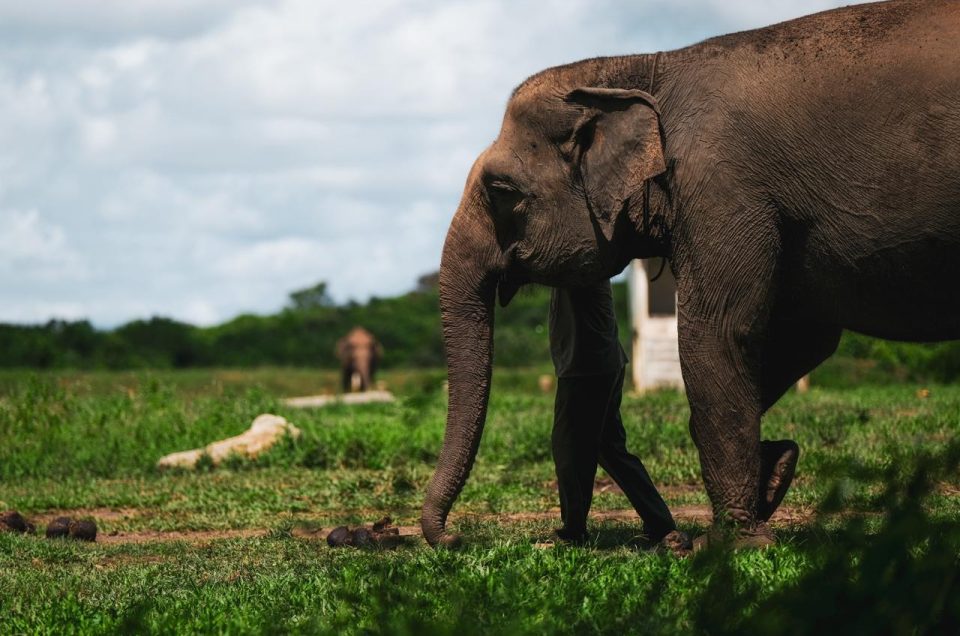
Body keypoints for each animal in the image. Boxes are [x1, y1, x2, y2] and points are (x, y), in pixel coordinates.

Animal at [421, 0, 960, 547]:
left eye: (501, 190)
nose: (452, 539)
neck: (645, 66)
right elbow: (806, 337)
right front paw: (775, 471)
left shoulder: (722, 185)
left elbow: (718, 331)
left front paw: (728, 543)